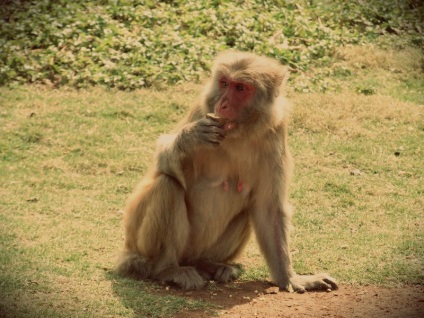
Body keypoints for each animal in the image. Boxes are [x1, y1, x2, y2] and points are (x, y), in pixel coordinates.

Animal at [116, 50, 338, 294]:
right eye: (224, 83)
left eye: (240, 88)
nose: (222, 104)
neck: (237, 133)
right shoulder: (201, 110)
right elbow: (162, 165)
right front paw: (190, 137)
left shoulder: (276, 132)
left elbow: (269, 209)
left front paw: (291, 278)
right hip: (142, 245)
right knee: (167, 185)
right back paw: (168, 269)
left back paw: (209, 264)